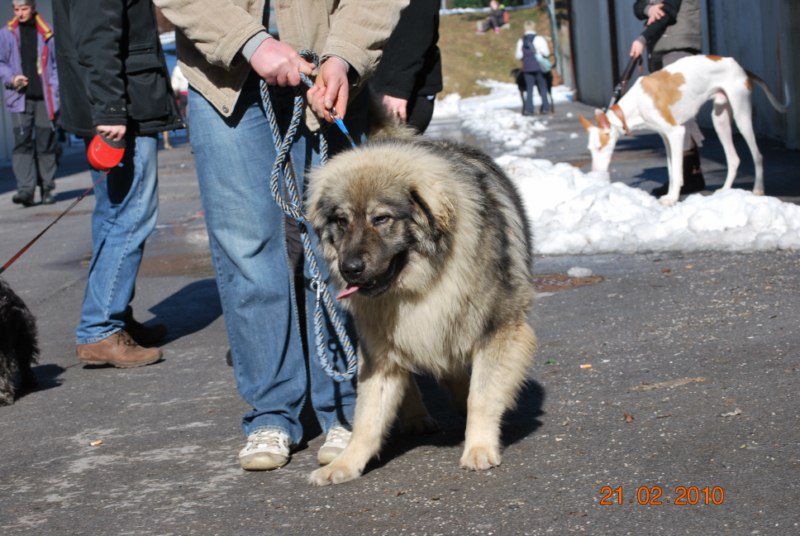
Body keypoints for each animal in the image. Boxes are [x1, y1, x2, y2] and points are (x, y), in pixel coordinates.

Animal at [306, 135, 536, 486]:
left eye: (381, 219)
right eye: (342, 221)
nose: (350, 269)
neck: (421, 282)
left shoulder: (497, 329)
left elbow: (481, 396)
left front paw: (478, 447)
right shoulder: (379, 349)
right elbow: (367, 416)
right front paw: (345, 463)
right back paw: (416, 417)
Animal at [580, 55, 792, 205]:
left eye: (600, 147)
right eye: (590, 150)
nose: (595, 175)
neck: (635, 105)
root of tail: (738, 66)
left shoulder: (676, 133)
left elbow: (677, 171)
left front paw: (672, 199)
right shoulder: (666, 137)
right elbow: (671, 171)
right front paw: (670, 195)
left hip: (741, 116)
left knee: (757, 155)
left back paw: (758, 189)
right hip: (720, 119)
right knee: (734, 159)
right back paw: (725, 191)